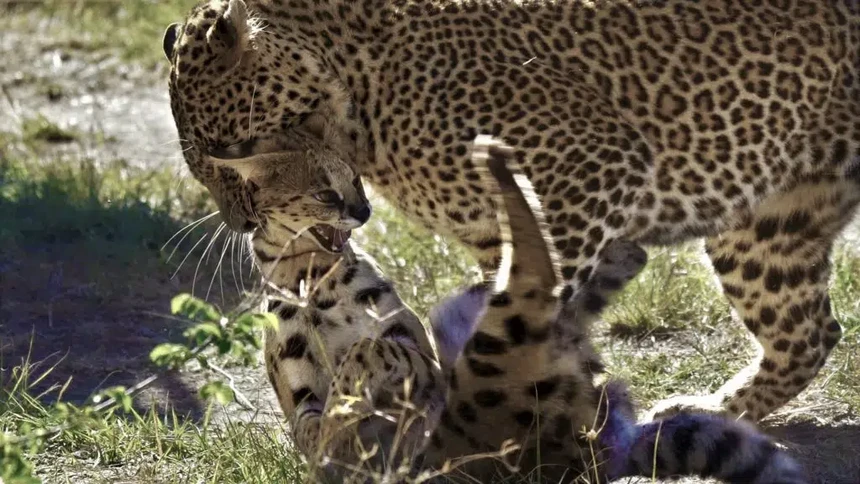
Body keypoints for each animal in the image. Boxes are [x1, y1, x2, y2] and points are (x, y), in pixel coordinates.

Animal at [163, 0, 860, 424]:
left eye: (225, 156)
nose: (242, 224)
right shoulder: (503, 233)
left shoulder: (584, 176)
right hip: (770, 223)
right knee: (810, 331)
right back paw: (706, 410)